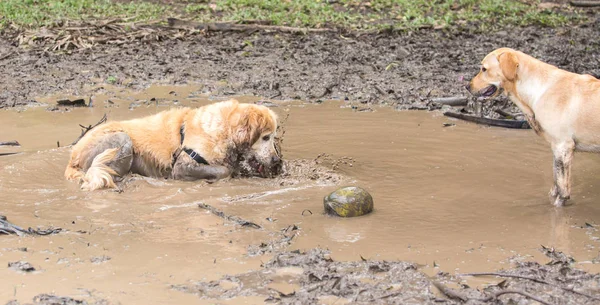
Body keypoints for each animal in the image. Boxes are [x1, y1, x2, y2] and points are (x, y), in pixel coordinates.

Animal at [65, 100, 282, 190]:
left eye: (273, 136)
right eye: (265, 137)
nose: (276, 160)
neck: (224, 128)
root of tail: (72, 157)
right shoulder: (184, 165)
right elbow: (224, 170)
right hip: (121, 140)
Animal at [466, 47, 600, 207]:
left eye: (484, 69)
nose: (467, 86)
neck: (538, 88)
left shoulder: (563, 146)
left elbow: (562, 188)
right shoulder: (557, 148)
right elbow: (555, 181)